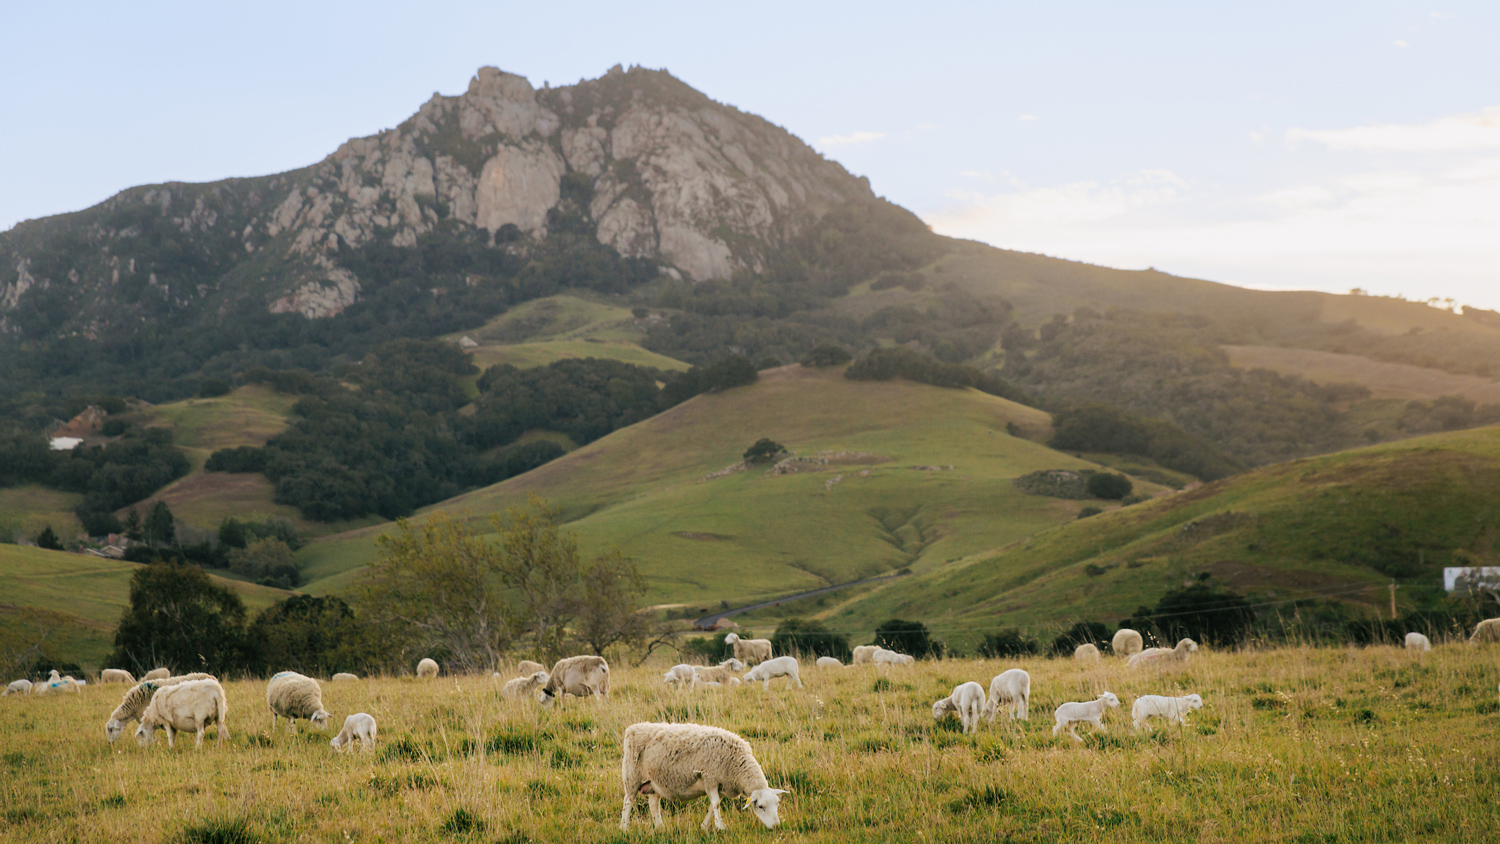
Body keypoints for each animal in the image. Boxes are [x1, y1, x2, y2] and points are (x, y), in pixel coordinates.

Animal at [621, 719, 792, 833]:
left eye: (777, 804)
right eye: (761, 806)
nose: (776, 827)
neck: (736, 765)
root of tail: (633, 728)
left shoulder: (721, 785)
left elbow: (713, 805)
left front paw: (705, 826)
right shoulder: (710, 778)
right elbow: (716, 804)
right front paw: (721, 827)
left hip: (654, 782)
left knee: (653, 805)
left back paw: (660, 827)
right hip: (632, 776)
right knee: (628, 801)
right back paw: (624, 827)